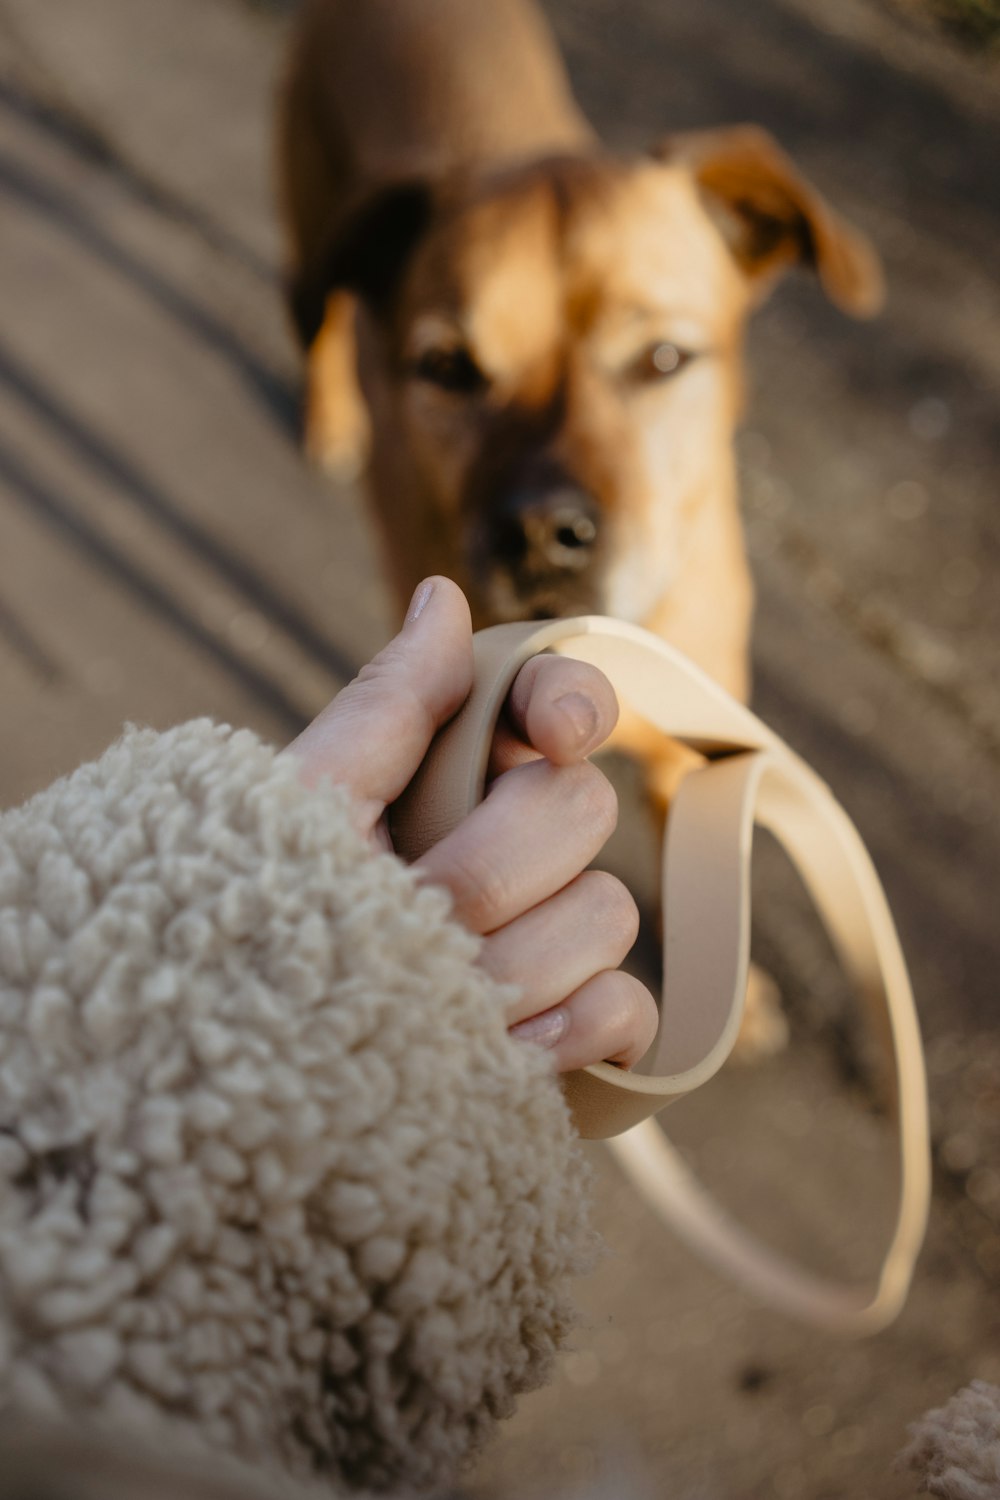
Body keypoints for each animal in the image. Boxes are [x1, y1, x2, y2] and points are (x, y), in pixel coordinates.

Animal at [277, 0, 881, 810]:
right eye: (446, 368)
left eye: (664, 359)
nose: (539, 532)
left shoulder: (691, 771)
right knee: (323, 315)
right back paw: (332, 415)